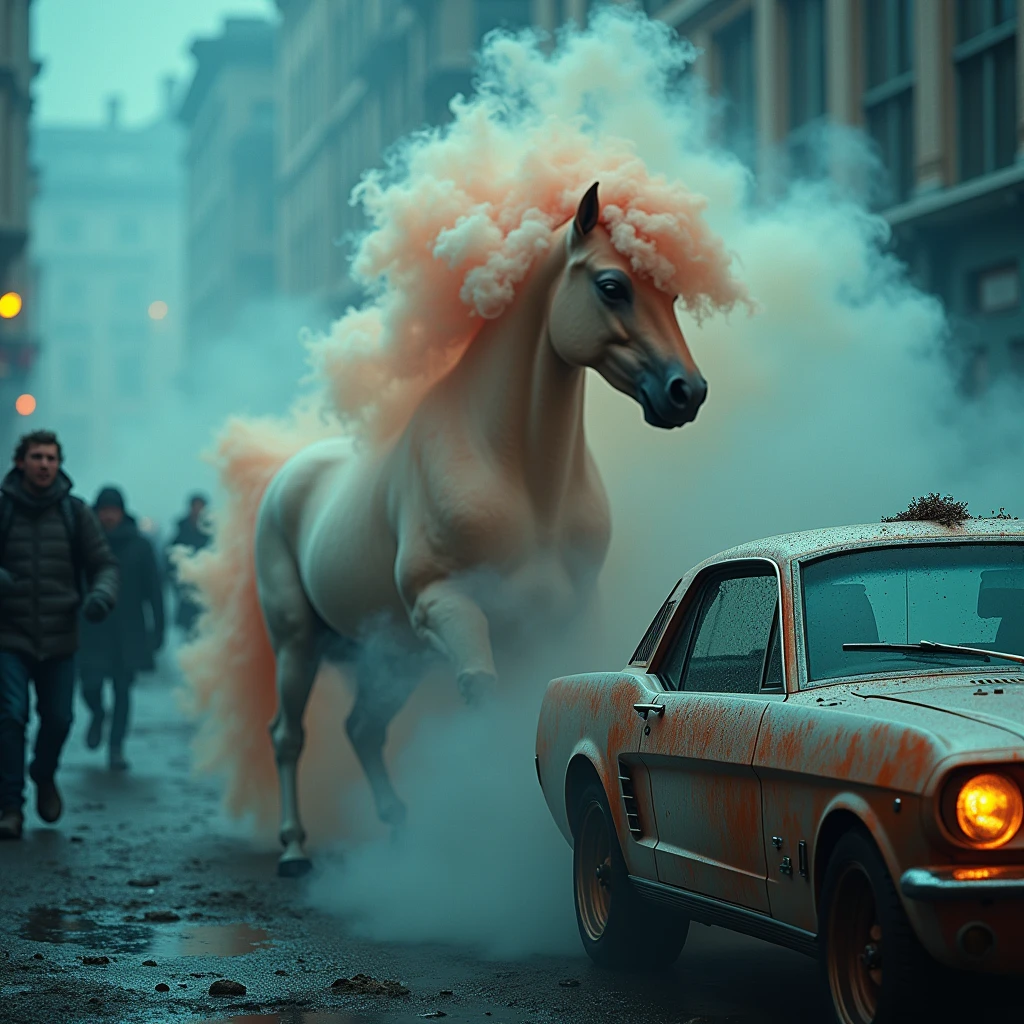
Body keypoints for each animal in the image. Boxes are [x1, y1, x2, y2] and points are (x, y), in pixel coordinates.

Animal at [251, 182, 708, 872]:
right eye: (612, 286)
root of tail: (290, 476)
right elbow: (484, 704)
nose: (687, 391)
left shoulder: (561, 619)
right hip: (299, 641)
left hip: (393, 654)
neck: (524, 482)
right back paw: (295, 846)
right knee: (288, 735)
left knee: (363, 729)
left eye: (673, 296)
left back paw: (399, 830)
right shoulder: (447, 608)